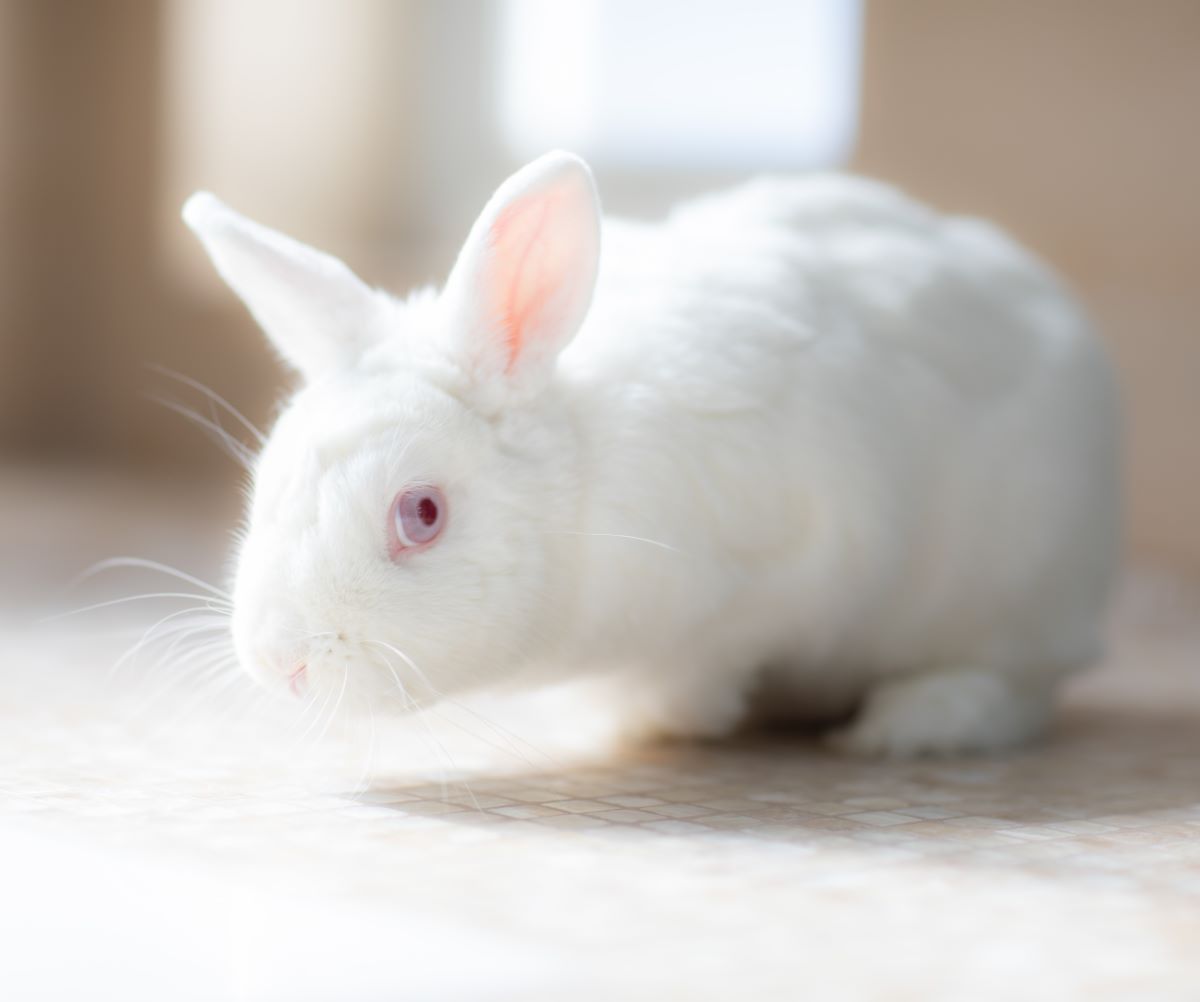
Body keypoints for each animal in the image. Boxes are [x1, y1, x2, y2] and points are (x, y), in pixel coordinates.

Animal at [182, 153, 1118, 758]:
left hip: (1014, 591)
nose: (280, 661)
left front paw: (651, 718)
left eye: (422, 513)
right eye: (266, 488)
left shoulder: (786, 567)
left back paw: (914, 726)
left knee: (1021, 685)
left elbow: (705, 664)